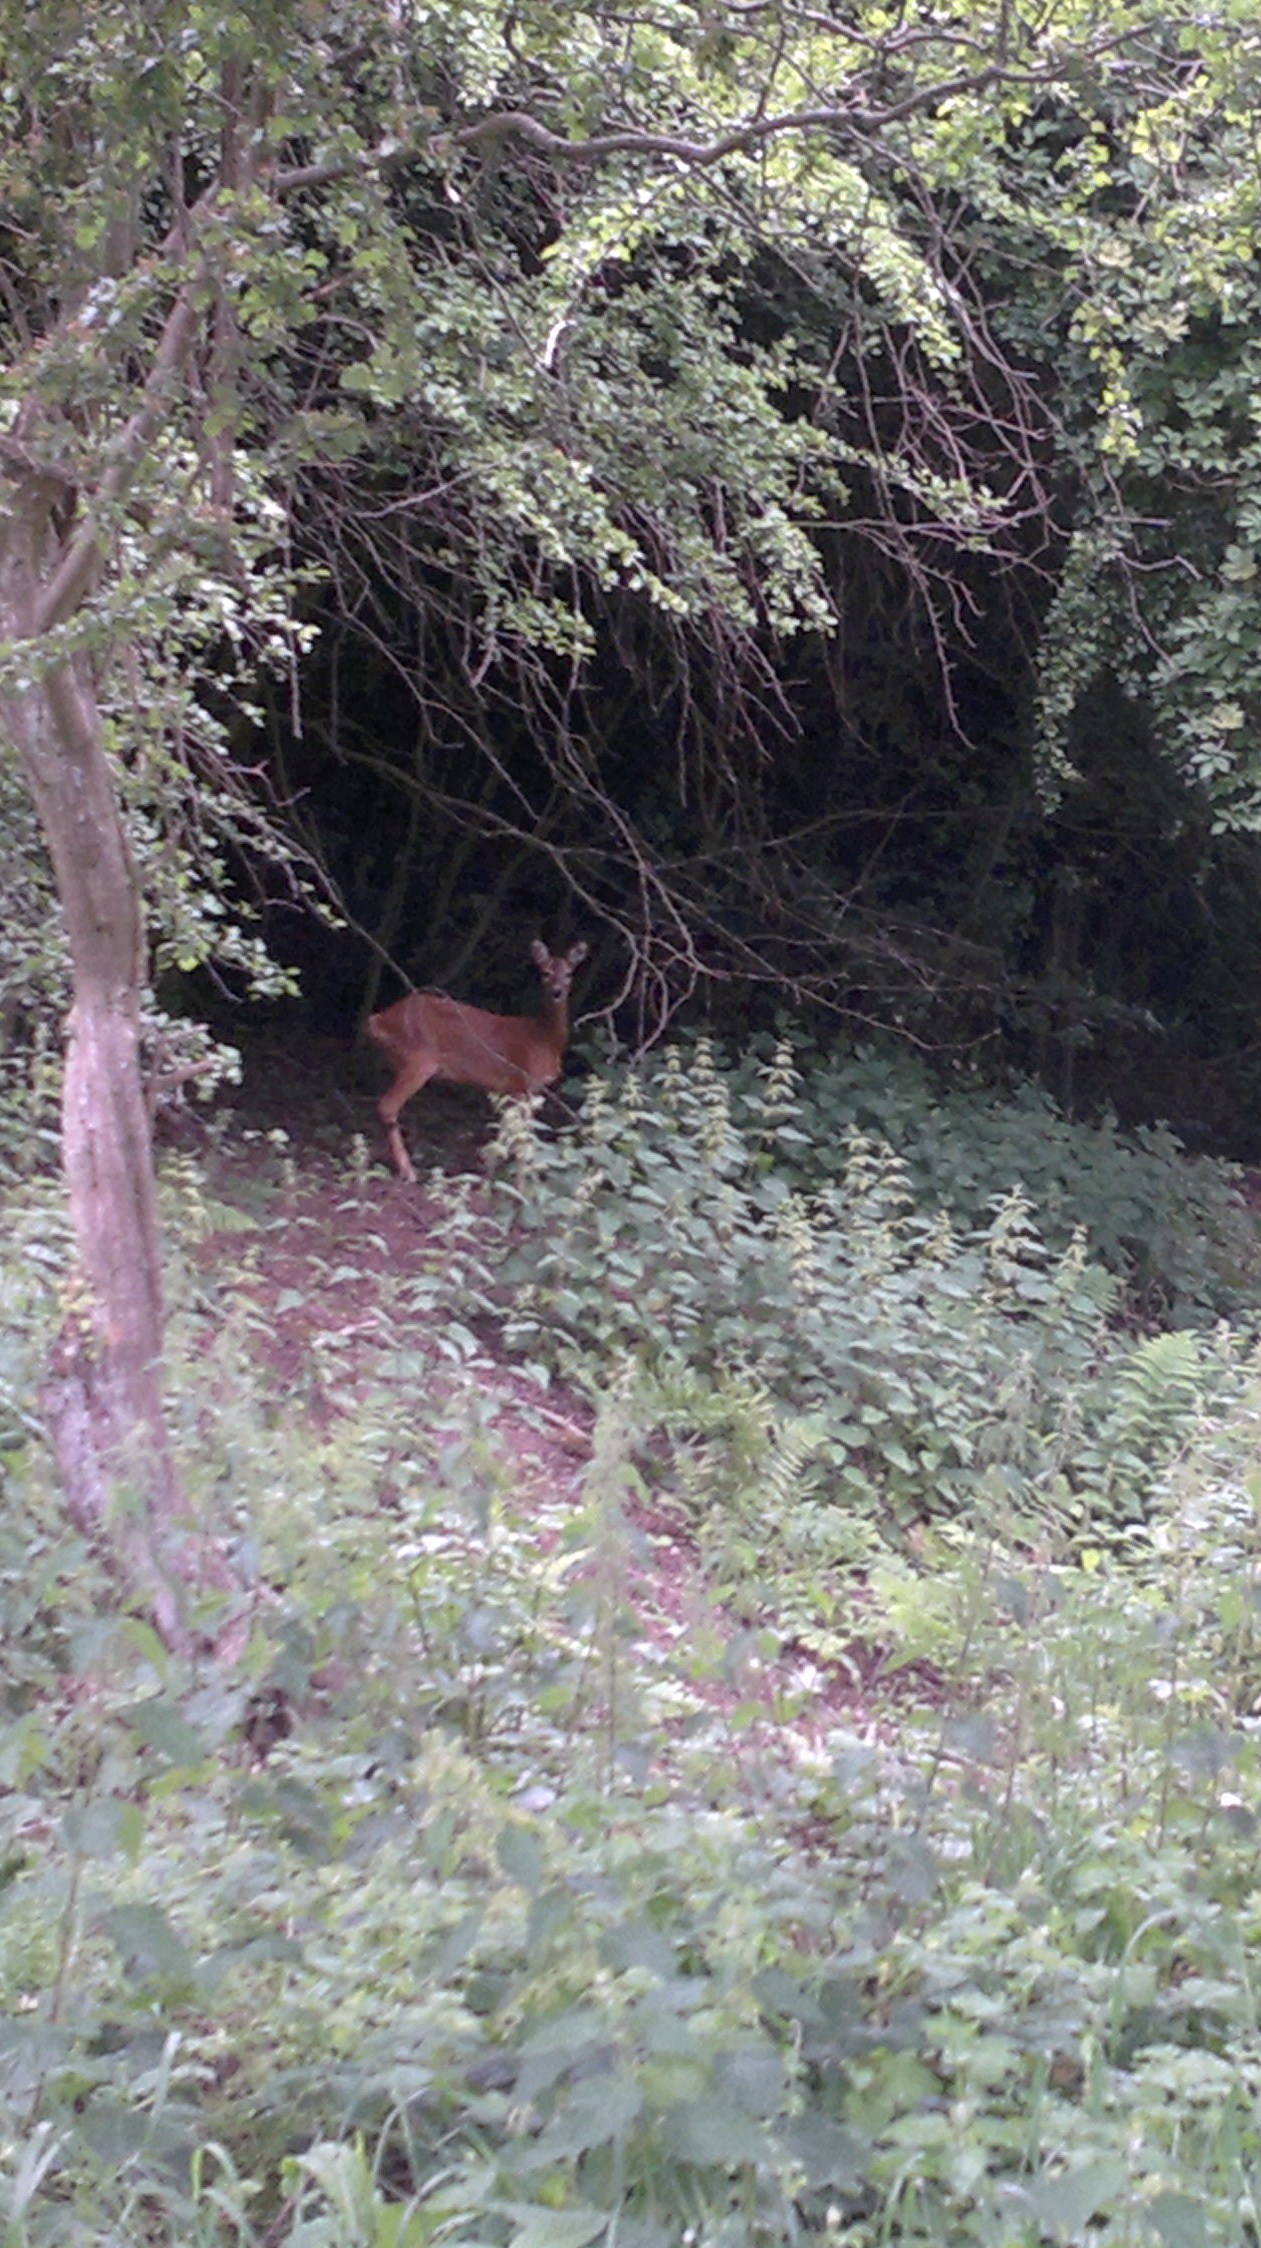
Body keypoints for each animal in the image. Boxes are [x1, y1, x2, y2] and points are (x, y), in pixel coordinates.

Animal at [366, 938, 589, 1182]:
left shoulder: (526, 1090)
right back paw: (409, 1171)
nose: (558, 992)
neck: (543, 1039)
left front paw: (489, 1175)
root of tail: (378, 1020)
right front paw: (519, 1185)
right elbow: (520, 1137)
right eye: (546, 973)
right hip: (419, 1059)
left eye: (569, 974)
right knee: (387, 1105)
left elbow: (508, 1134)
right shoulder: (520, 1082)